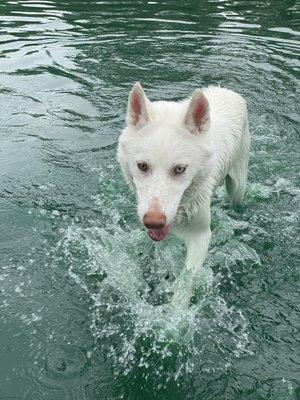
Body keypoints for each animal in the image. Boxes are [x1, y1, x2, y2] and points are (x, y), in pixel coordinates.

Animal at [118, 83, 250, 308]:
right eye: (142, 166)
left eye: (180, 169)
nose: (154, 221)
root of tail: (227, 90)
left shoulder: (201, 237)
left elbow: (186, 281)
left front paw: (175, 315)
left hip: (238, 185)